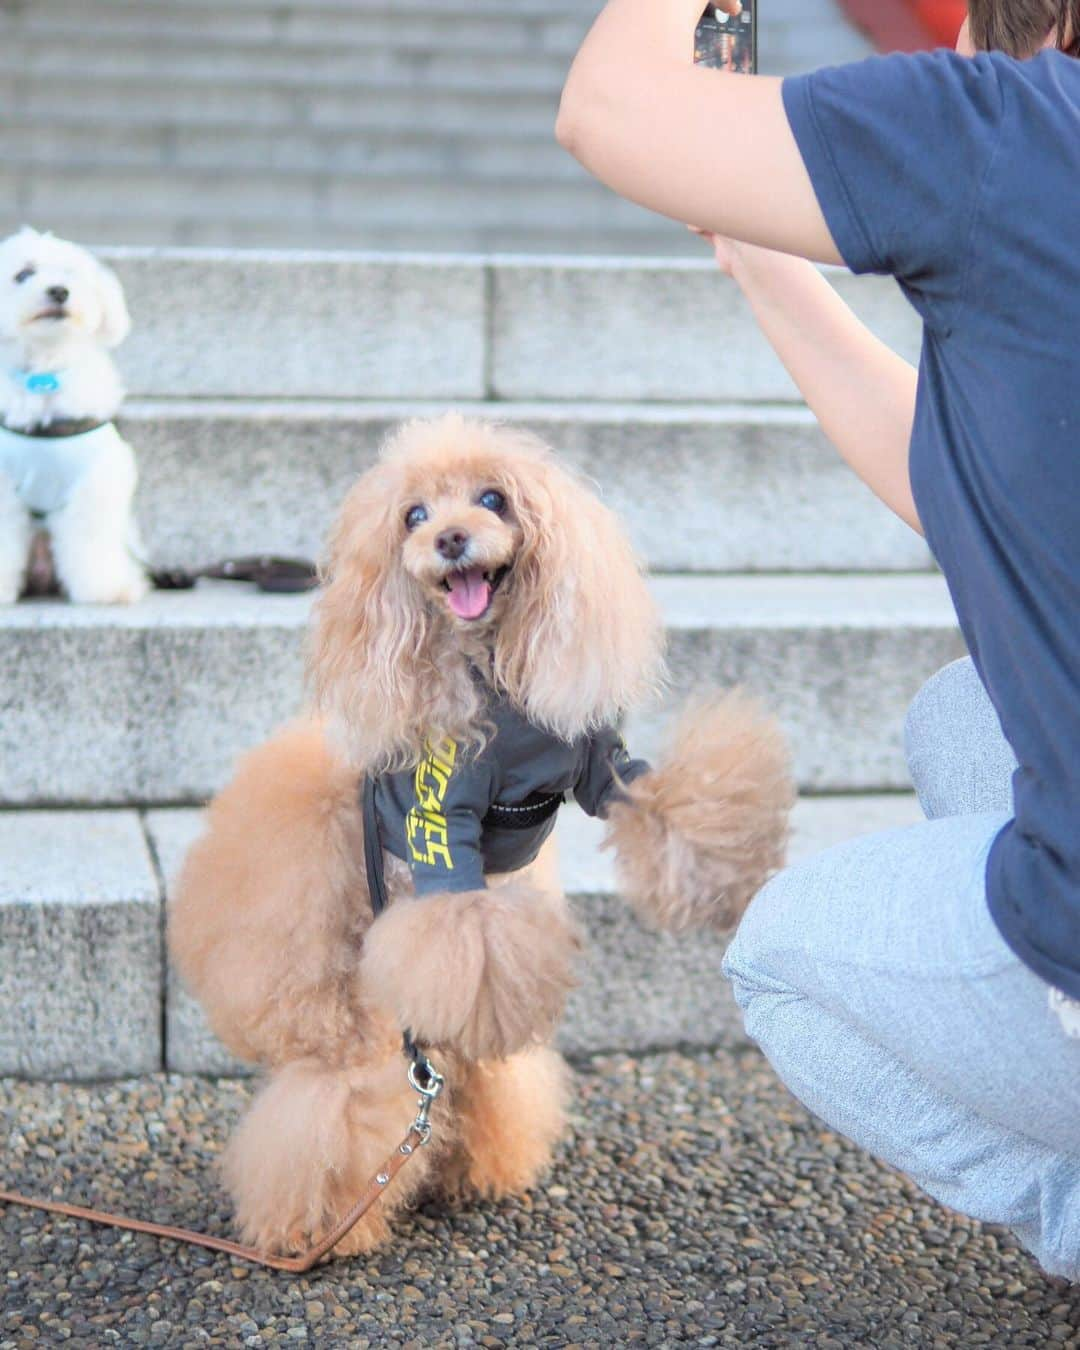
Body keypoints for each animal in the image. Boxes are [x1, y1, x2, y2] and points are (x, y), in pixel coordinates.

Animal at [0, 229, 147, 604]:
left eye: (71, 275)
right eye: (23, 274)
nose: (59, 291)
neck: (43, 374)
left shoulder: (95, 479)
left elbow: (91, 537)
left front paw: (102, 590)